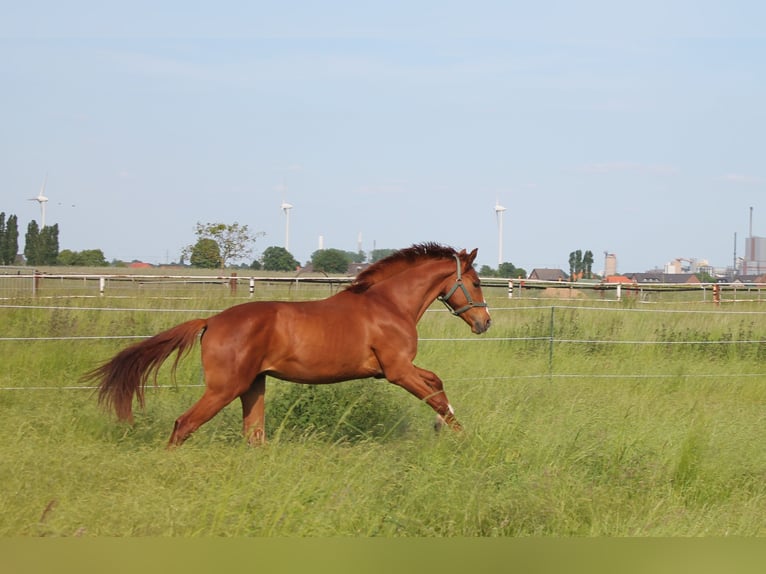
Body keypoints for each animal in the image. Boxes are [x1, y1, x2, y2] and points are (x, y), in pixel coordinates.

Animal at [84, 243, 492, 450]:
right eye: (474, 281)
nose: (484, 322)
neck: (388, 304)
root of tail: (211, 321)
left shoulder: (397, 369)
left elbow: (437, 383)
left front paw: (444, 427)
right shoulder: (397, 371)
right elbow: (434, 396)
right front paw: (460, 437)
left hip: (253, 386)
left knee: (254, 435)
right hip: (224, 388)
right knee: (185, 425)